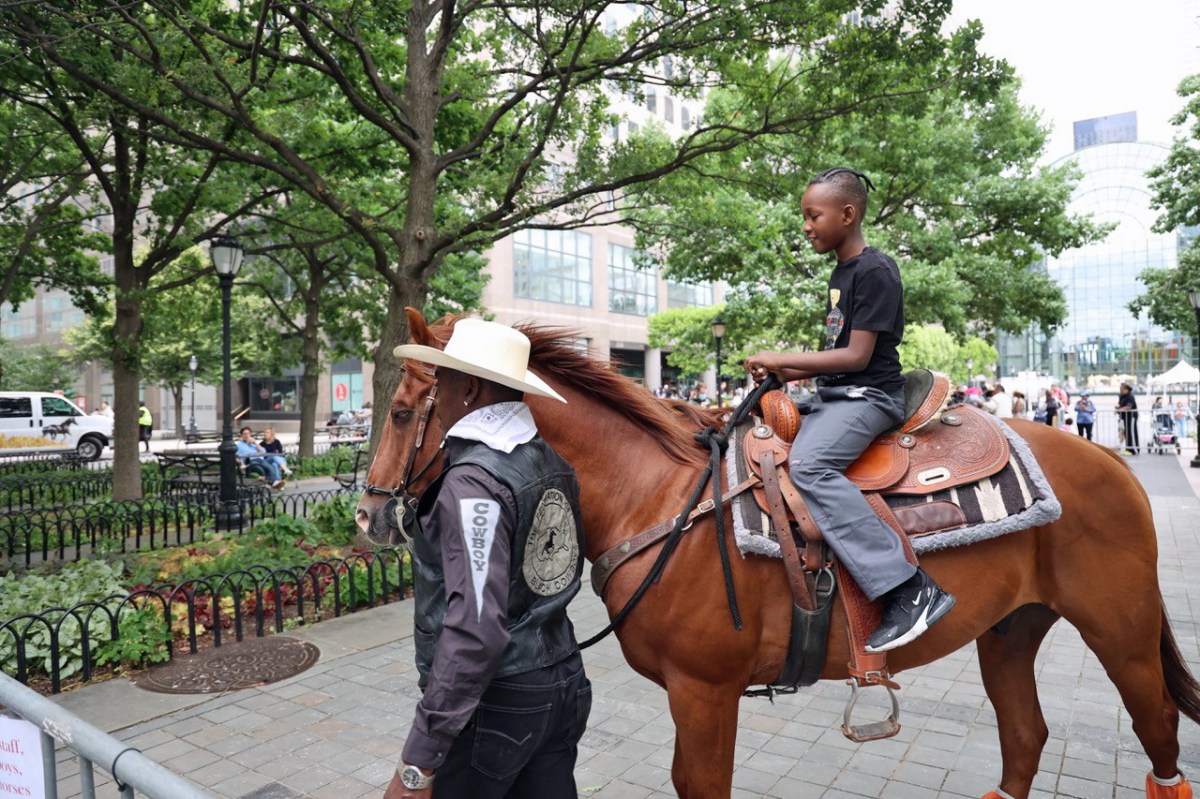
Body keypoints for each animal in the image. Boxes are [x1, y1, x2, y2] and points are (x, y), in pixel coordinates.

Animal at [357, 309, 1200, 796]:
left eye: (399, 410)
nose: (367, 514)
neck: (660, 496)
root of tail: (1111, 456)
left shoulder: (704, 692)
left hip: (1119, 628)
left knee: (1157, 725)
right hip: (1011, 628)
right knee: (1025, 738)